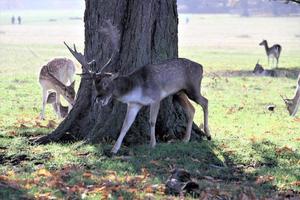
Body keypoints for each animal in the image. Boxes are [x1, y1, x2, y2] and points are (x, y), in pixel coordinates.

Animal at [64, 20, 211, 154]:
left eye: (105, 83)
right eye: (95, 86)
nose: (99, 100)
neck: (137, 89)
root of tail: (201, 67)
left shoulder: (156, 97)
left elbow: (152, 121)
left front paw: (152, 144)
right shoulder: (134, 104)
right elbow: (125, 125)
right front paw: (114, 149)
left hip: (193, 87)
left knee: (205, 101)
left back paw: (208, 134)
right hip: (179, 92)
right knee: (191, 109)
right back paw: (186, 139)